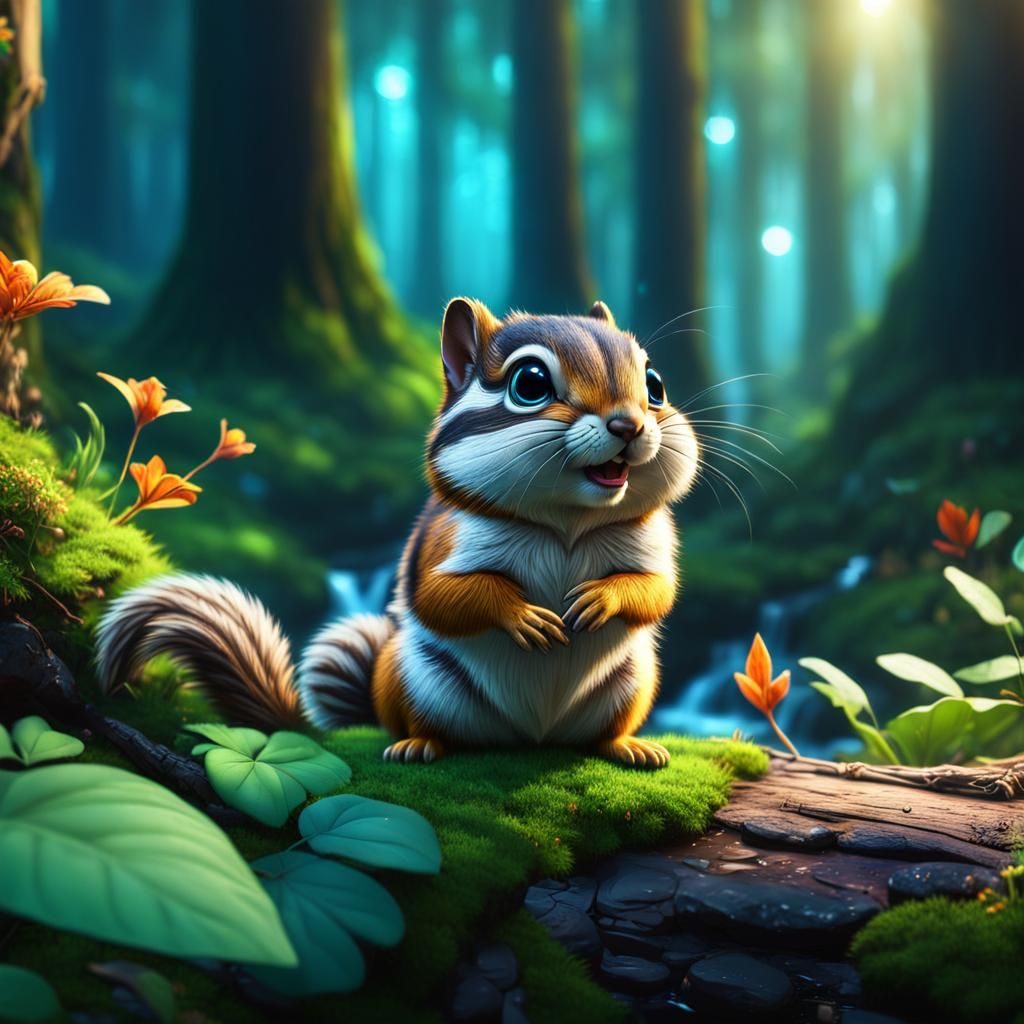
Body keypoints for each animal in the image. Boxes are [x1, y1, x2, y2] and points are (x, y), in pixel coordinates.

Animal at [96, 298, 699, 769]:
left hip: (634, 682)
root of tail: (530, 736)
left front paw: (602, 598)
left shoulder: (652, 542)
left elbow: (658, 589)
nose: (629, 425)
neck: (565, 524)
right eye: (529, 383)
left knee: (602, 733)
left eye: (654, 385)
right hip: (415, 681)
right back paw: (417, 745)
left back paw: (630, 748)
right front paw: (523, 615)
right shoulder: (444, 540)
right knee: (431, 727)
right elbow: (445, 597)